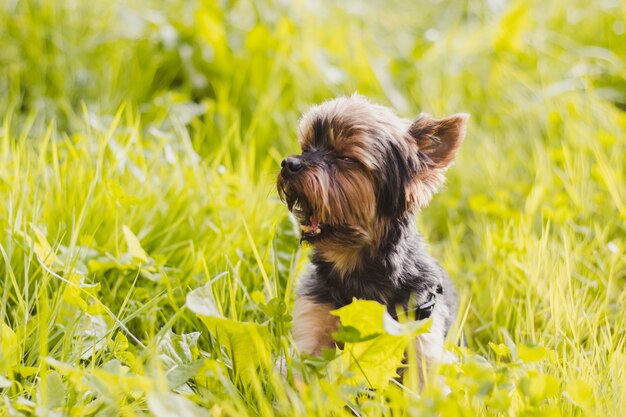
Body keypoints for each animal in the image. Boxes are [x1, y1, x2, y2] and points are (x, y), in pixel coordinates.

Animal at [276, 95, 466, 376]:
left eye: (346, 157)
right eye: (306, 147)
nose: (289, 163)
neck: (354, 267)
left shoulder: (420, 329)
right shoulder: (313, 324)